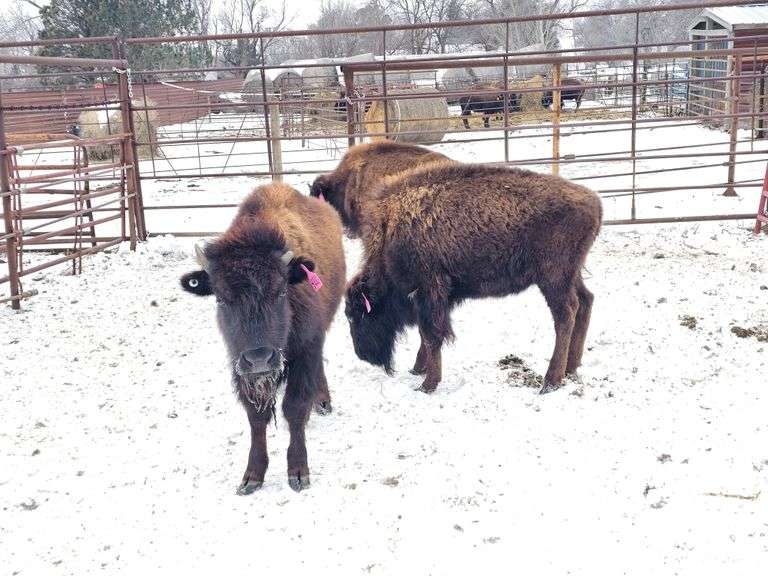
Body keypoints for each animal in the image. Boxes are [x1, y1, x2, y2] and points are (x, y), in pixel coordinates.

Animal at [180, 182, 345, 493]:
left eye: (280, 292)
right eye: (220, 298)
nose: (259, 358)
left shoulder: (306, 349)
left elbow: (294, 407)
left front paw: (298, 473)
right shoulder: (240, 366)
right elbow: (256, 417)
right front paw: (252, 477)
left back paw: (322, 403)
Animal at [344, 162, 602, 395]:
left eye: (356, 315)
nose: (363, 355)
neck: (390, 231)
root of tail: (595, 202)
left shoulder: (429, 291)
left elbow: (431, 335)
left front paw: (427, 384)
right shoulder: (435, 297)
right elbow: (426, 334)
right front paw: (418, 369)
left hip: (553, 278)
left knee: (565, 314)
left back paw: (550, 382)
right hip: (571, 275)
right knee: (585, 301)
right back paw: (571, 368)